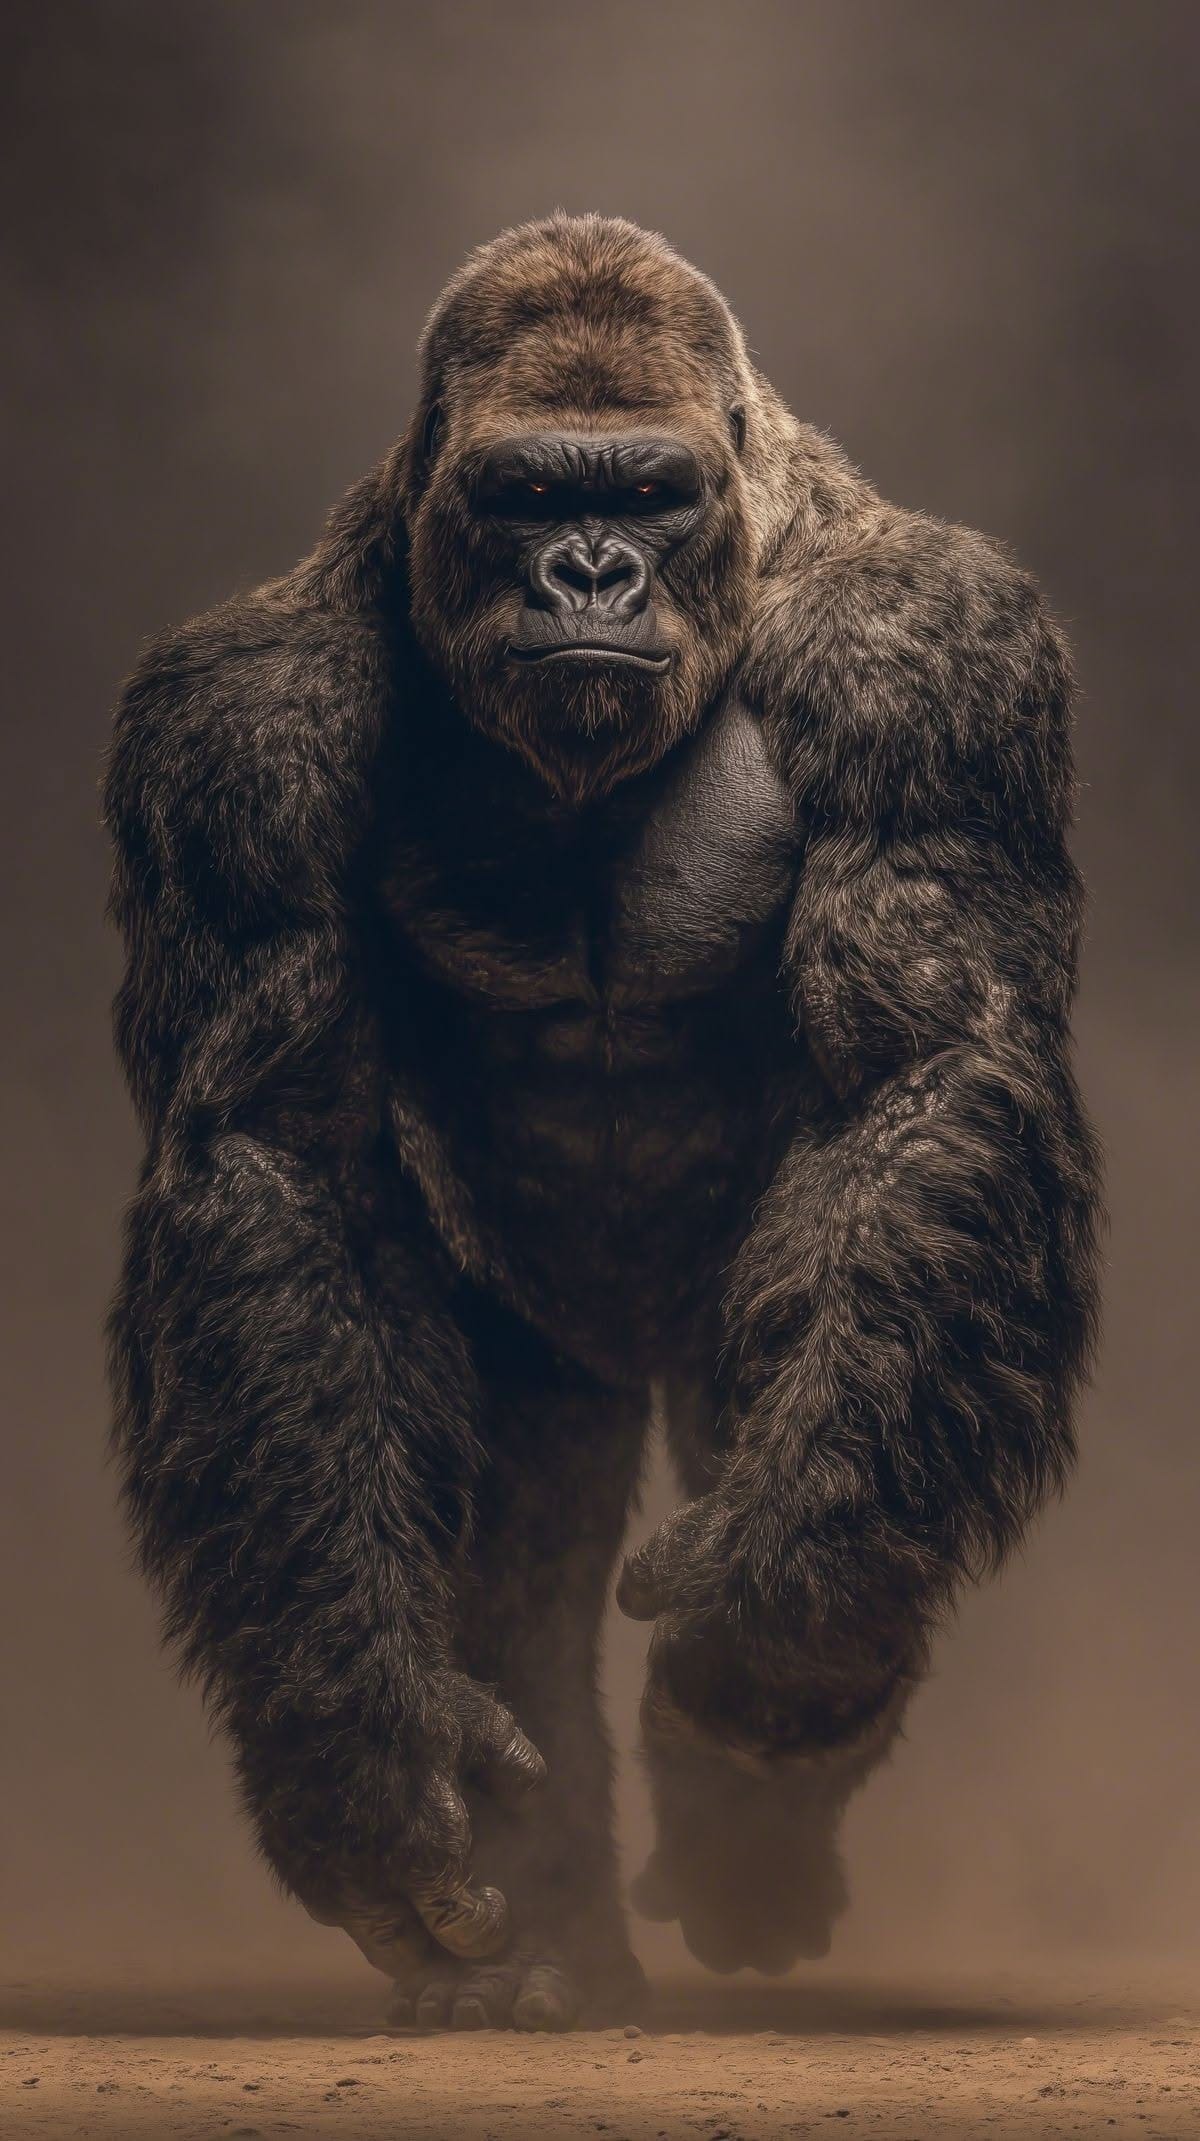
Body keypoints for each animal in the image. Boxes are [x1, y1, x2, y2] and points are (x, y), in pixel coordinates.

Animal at [105, 214, 1101, 2030]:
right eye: (524, 496)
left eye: (646, 493)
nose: (587, 576)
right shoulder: (231, 733)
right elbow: (275, 1165)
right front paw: (363, 1757)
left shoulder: (935, 656)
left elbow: (929, 1074)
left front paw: (774, 1630)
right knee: (508, 1532)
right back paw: (547, 1934)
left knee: (848, 1379)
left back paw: (756, 1810)